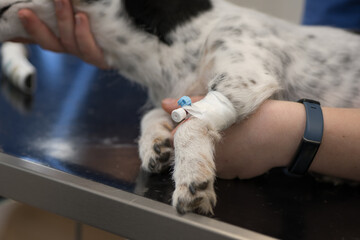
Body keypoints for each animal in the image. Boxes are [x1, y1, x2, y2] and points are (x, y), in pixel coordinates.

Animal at [0, 0, 360, 214]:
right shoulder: (180, 92)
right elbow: (157, 113)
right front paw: (156, 143)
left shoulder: (246, 77)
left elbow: (189, 123)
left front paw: (192, 179)